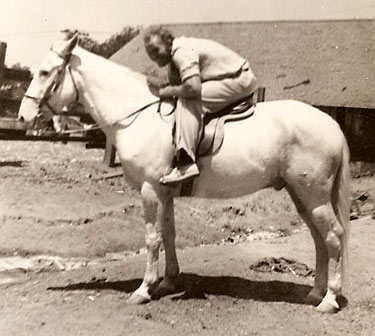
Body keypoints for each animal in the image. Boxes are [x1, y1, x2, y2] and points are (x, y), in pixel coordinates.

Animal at [19, 35, 352, 314]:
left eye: (46, 72)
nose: (23, 116)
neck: (139, 117)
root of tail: (332, 124)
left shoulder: (150, 190)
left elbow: (152, 238)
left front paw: (144, 289)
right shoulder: (165, 192)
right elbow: (169, 234)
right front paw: (168, 281)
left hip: (314, 195)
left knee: (334, 236)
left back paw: (329, 300)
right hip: (301, 195)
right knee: (319, 239)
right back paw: (315, 293)